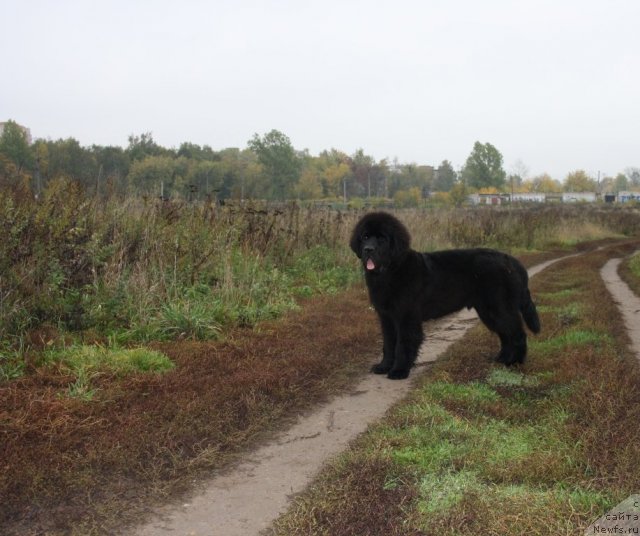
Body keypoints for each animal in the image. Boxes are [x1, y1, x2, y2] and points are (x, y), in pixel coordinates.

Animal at [350, 211, 540, 378]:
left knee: (517, 333)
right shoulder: (387, 317)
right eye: (365, 237)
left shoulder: (406, 317)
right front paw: (383, 367)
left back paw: (515, 362)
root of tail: (511, 261)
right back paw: (502, 358)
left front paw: (399, 371)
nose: (368, 249)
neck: (391, 270)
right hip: (489, 311)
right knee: (505, 334)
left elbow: (403, 344)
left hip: (499, 307)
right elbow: (389, 344)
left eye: (381, 238)